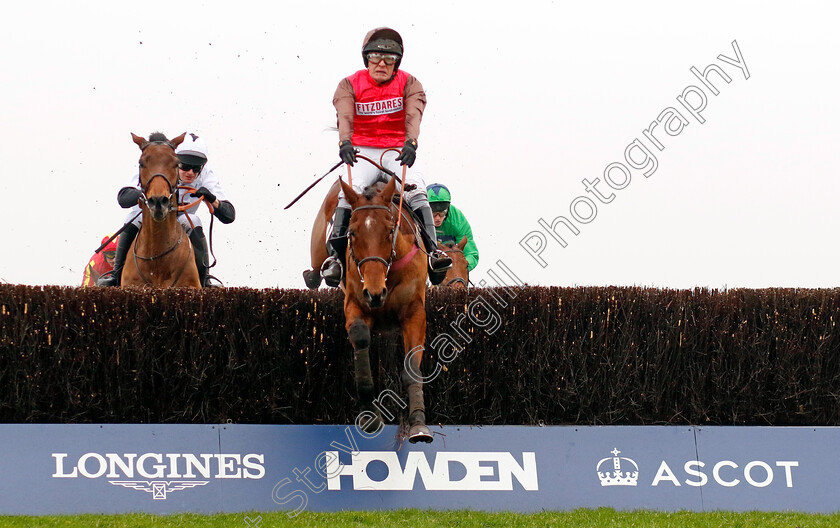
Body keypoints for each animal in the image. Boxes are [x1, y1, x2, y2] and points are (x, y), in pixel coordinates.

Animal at [340, 176, 434, 442]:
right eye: (352, 232)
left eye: (390, 230)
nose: (375, 293)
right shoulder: (354, 303)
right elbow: (360, 336)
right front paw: (369, 416)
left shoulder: (414, 313)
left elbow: (411, 368)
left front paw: (418, 424)